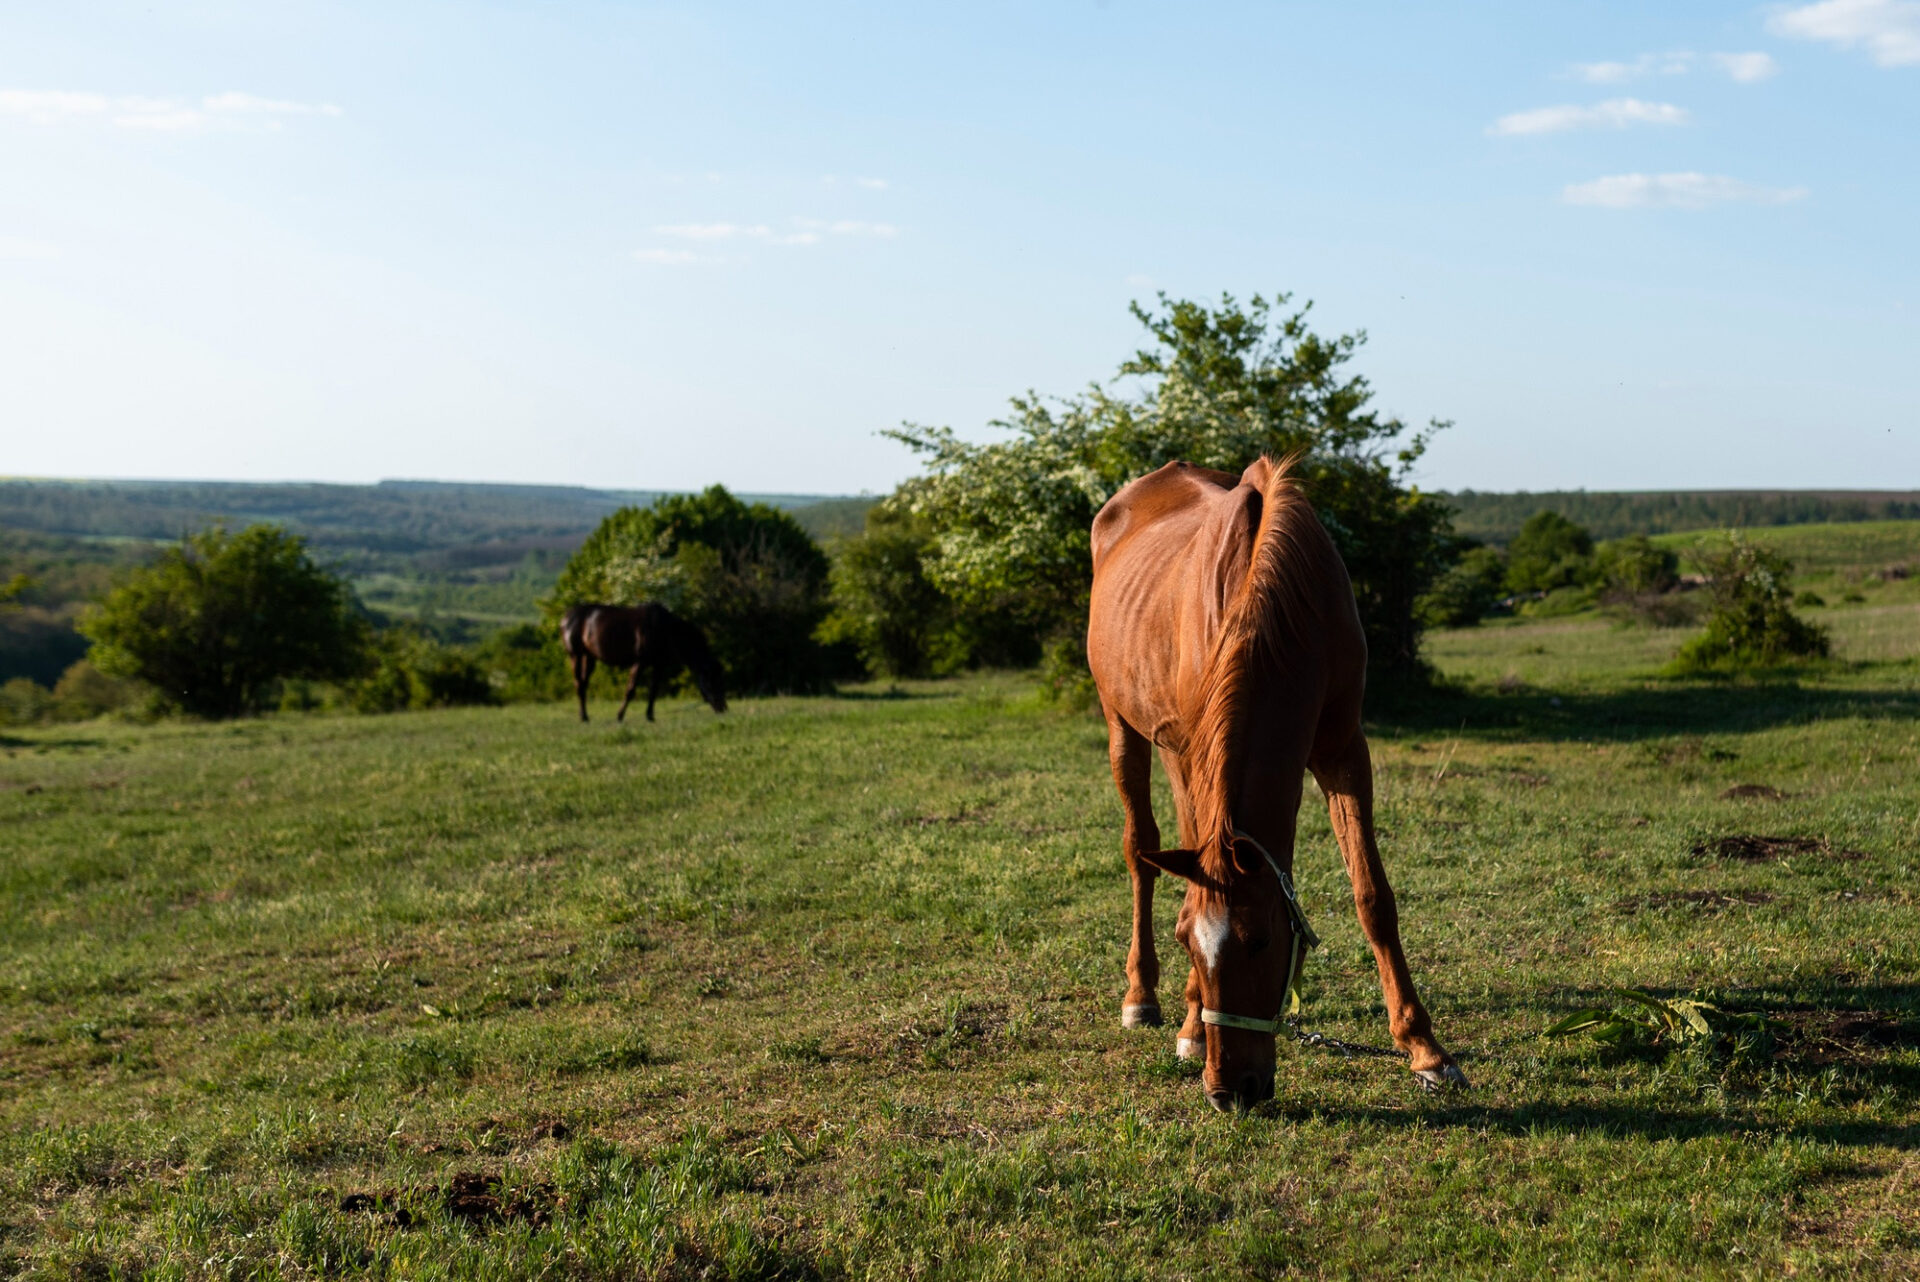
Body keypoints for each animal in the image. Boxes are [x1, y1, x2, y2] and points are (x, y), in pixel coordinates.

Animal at [564, 602, 729, 721]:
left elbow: (653, 691)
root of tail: (566, 618)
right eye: (711, 682)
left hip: (589, 657)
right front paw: (620, 715)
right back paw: (583, 717)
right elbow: (630, 690)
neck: (666, 630)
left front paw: (650, 716)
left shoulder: (658, 664)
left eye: (721, 681)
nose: (723, 708)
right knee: (579, 684)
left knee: (583, 684)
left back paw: (585, 715)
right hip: (575, 655)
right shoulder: (640, 662)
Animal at [1090, 458, 1459, 1113]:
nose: (1228, 1091)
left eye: (1260, 941)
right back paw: (1143, 997)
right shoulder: (1194, 752)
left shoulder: (1342, 749)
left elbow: (1373, 897)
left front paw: (1425, 1049)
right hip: (1123, 727)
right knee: (1140, 849)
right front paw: (1191, 1025)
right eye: (1187, 944)